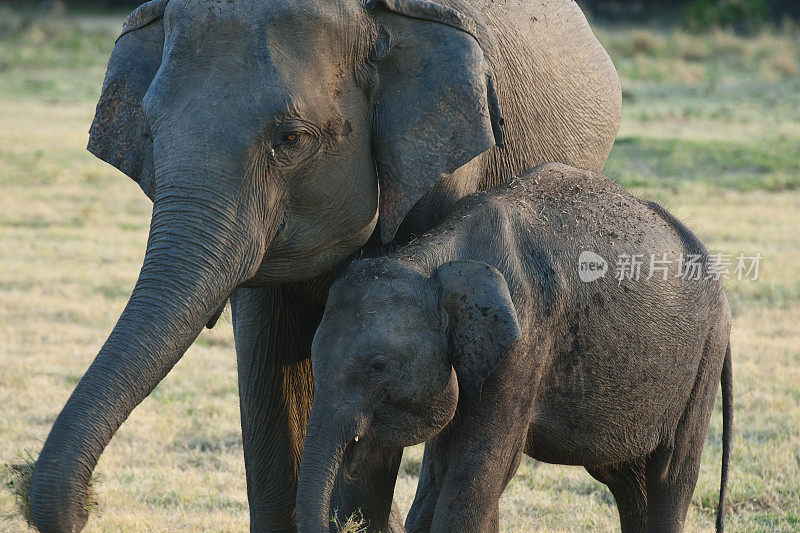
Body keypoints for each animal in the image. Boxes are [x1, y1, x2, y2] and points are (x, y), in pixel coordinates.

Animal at [298, 162, 732, 532]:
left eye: (378, 366)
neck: (431, 259)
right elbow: (443, 464)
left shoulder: (526, 342)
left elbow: (478, 471)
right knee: (626, 478)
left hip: (704, 359)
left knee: (669, 474)